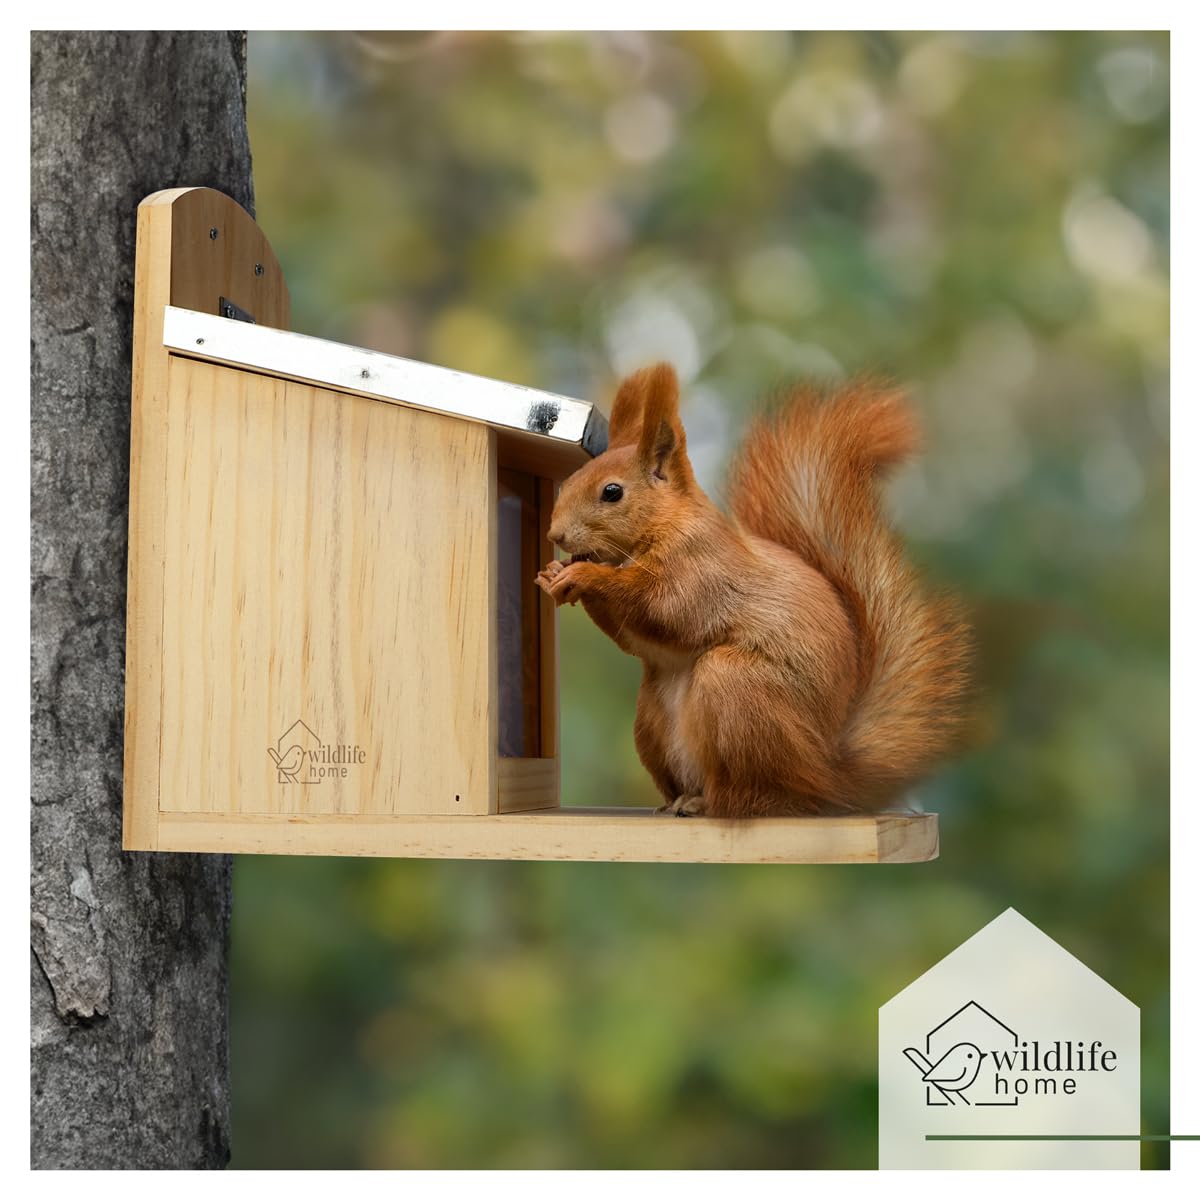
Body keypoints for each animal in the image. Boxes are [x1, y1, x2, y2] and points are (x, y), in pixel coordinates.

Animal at [534, 363, 971, 818]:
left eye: (612, 492)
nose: (555, 535)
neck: (662, 526)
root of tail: (826, 777)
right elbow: (632, 637)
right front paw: (553, 573)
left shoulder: (703, 570)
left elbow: (666, 609)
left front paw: (585, 576)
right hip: (651, 721)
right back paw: (676, 802)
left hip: (737, 688)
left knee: (754, 798)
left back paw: (709, 804)